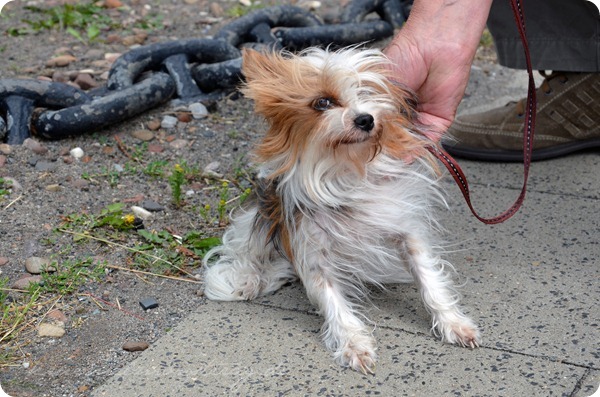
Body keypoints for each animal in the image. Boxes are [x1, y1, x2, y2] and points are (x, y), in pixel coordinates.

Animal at [204, 46, 480, 372]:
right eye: (323, 102)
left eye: (368, 93)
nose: (366, 119)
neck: (343, 170)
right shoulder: (312, 252)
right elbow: (332, 300)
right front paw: (353, 342)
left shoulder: (405, 230)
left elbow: (428, 277)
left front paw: (452, 321)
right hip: (260, 218)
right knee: (249, 249)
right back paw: (248, 279)